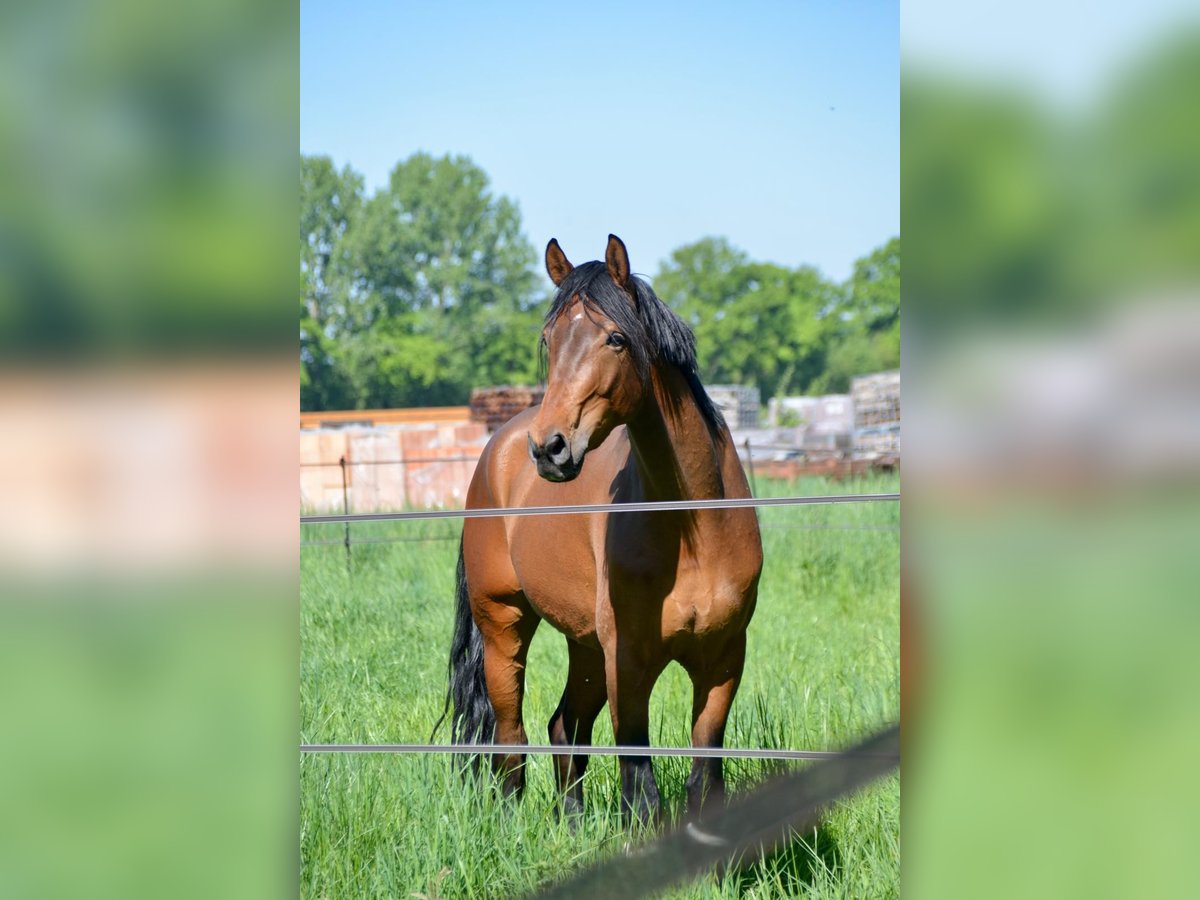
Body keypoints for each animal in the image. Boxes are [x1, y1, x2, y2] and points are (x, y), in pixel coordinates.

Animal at [443, 234, 763, 824]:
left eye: (615, 337)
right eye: (550, 340)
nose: (550, 447)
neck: (695, 531)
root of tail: (498, 448)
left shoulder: (723, 661)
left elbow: (705, 777)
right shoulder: (628, 664)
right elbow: (641, 787)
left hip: (585, 645)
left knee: (563, 727)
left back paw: (570, 825)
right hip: (505, 627)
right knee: (511, 737)